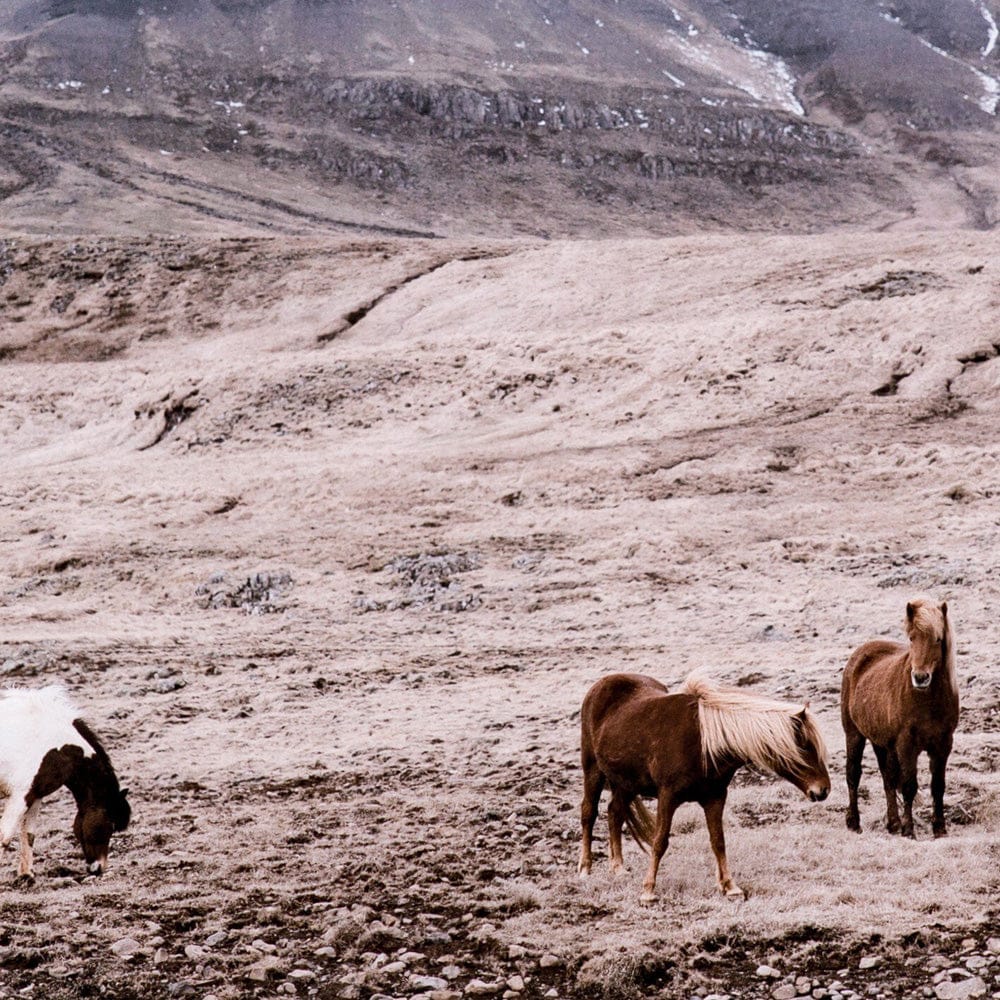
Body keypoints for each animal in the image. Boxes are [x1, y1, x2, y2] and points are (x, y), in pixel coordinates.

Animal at [0, 686, 130, 879]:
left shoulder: (34, 796)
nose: (99, 868)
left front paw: (27, 875)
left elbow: (28, 834)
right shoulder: (20, 796)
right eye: (111, 824)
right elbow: (5, 836)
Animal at [578, 671, 830, 903]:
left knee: (615, 813)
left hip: (626, 783)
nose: (823, 790)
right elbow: (660, 842)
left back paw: (618, 868)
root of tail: (603, 684)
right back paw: (585, 868)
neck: (704, 744)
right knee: (589, 813)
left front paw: (730, 887)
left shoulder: (715, 798)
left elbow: (718, 841)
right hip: (593, 770)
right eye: (805, 747)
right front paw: (648, 891)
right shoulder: (667, 797)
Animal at [841, 597, 959, 839]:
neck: (927, 701)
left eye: (938, 639)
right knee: (853, 774)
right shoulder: (906, 744)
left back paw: (893, 823)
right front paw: (909, 830)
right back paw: (854, 822)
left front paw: (939, 829)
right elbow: (908, 786)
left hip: (883, 743)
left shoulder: (943, 744)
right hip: (854, 734)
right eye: (912, 638)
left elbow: (938, 786)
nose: (920, 677)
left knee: (887, 777)